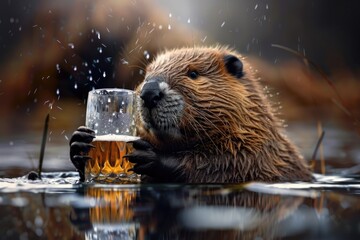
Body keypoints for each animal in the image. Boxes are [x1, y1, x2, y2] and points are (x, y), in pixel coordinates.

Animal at [69, 46, 314, 183]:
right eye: (146, 75)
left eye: (193, 73)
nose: (149, 92)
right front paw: (80, 142)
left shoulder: (255, 153)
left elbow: (220, 165)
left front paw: (147, 156)